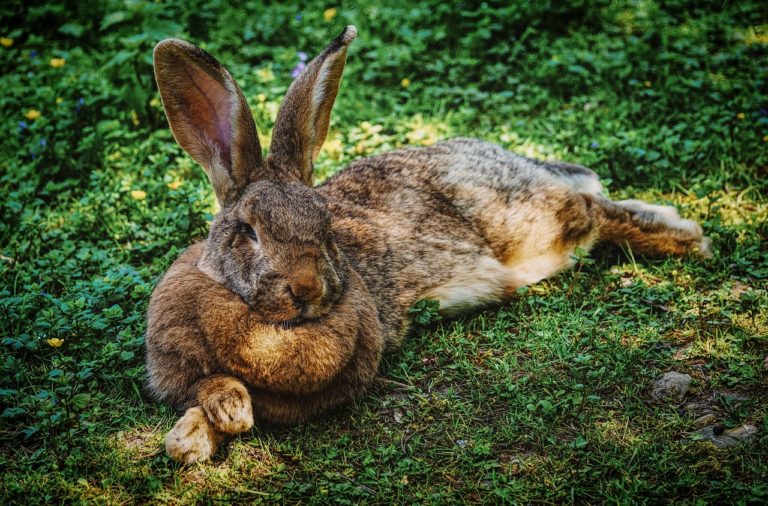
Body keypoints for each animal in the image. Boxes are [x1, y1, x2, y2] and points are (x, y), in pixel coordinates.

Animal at [147, 26, 712, 462]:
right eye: (248, 232)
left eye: (325, 226)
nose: (306, 289)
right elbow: (203, 396)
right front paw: (198, 433)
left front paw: (208, 427)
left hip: (530, 223)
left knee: (594, 211)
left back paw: (686, 237)